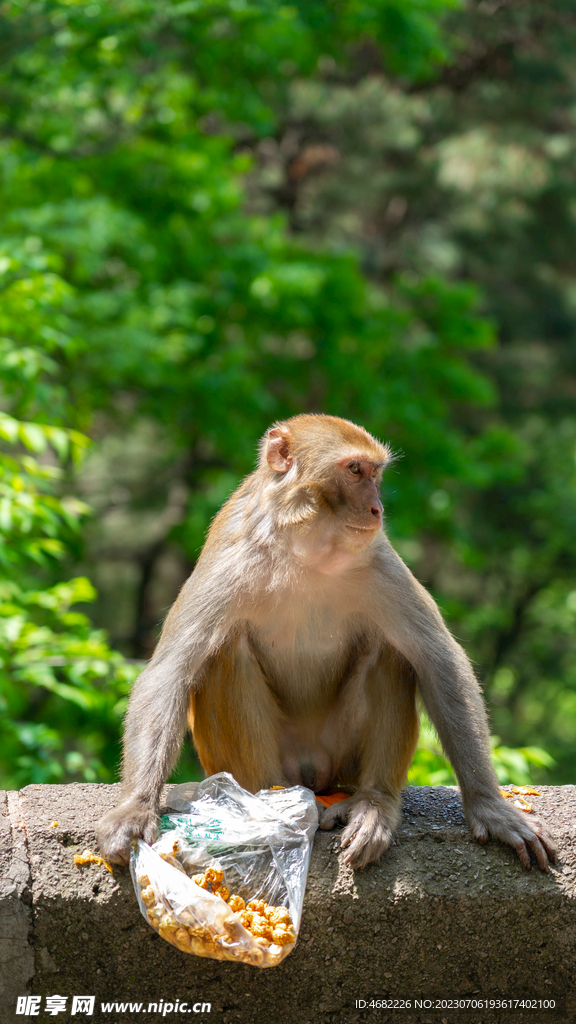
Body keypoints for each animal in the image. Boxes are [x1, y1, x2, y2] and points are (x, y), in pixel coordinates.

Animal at [96, 411, 553, 868]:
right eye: (354, 471)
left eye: (375, 473)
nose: (377, 508)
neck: (305, 550)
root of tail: (312, 773)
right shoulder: (231, 558)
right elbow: (169, 671)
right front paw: (135, 808)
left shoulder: (377, 558)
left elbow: (440, 661)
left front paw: (490, 807)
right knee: (226, 652)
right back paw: (272, 800)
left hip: (341, 759)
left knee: (390, 653)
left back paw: (373, 804)